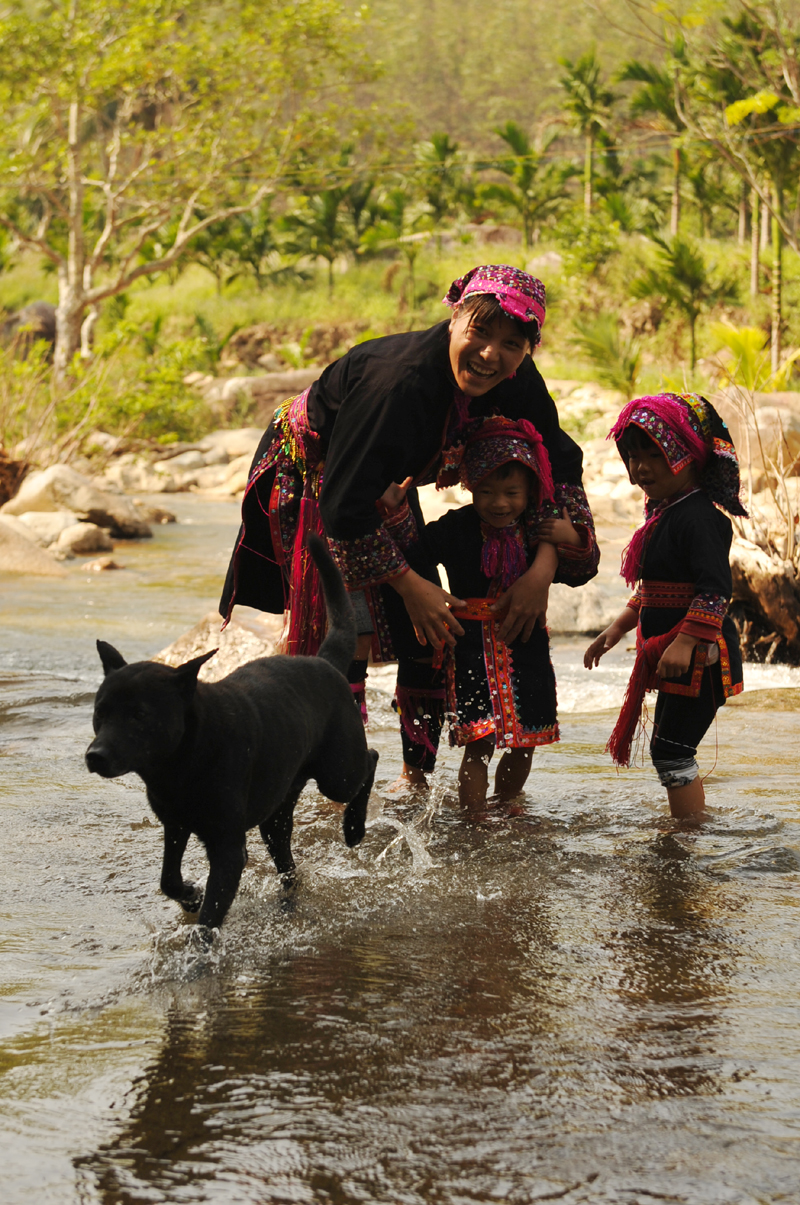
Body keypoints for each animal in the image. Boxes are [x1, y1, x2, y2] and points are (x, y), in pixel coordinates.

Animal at [86, 532, 380, 935]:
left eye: (140, 715)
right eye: (100, 712)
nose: (95, 756)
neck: (184, 759)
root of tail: (326, 662)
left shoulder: (226, 846)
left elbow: (210, 917)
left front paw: (200, 940)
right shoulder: (175, 824)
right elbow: (168, 880)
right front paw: (191, 896)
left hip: (337, 772)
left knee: (370, 761)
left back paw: (353, 828)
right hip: (276, 814)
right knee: (287, 863)